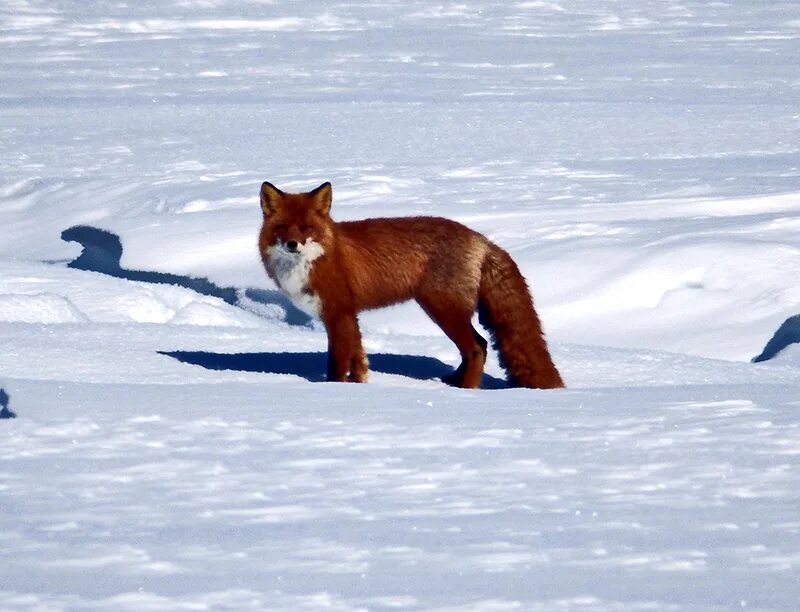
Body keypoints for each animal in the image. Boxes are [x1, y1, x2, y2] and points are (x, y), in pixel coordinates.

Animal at [256, 180, 564, 388]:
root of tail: (481, 239)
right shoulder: (349, 315)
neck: (319, 257)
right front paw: (360, 384)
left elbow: (338, 362)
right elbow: (359, 359)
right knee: (476, 348)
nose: (293, 244)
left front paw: (336, 389)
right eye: (282, 227)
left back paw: (466, 389)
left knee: (478, 347)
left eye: (307, 228)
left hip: (442, 309)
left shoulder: (338, 312)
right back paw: (452, 380)